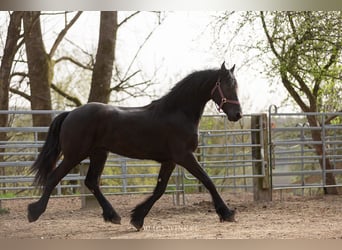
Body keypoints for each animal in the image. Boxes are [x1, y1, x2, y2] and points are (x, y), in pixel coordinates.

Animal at [28, 62, 242, 230]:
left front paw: (137, 218)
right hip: (75, 155)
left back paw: (113, 216)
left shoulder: (170, 161)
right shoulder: (184, 156)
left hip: (99, 154)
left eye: (236, 85)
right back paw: (34, 212)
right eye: (226, 85)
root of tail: (70, 114)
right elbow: (208, 180)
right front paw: (227, 213)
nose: (238, 114)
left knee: (91, 182)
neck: (177, 112)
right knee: (54, 177)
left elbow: (159, 190)